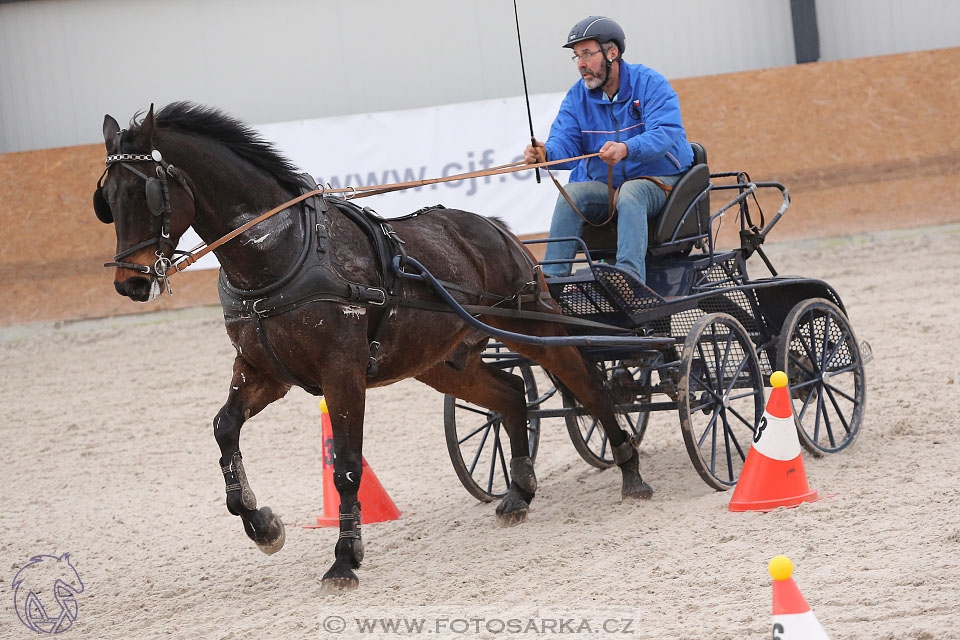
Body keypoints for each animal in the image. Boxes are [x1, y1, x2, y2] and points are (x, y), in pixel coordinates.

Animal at [95, 104, 652, 592]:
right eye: (107, 199)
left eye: (147, 192)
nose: (129, 282)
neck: (282, 253)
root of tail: (495, 227)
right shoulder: (261, 371)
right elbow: (224, 428)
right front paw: (262, 525)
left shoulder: (342, 372)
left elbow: (346, 466)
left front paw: (345, 559)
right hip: (440, 361)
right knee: (513, 393)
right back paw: (519, 493)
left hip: (531, 326)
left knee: (588, 383)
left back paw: (630, 470)